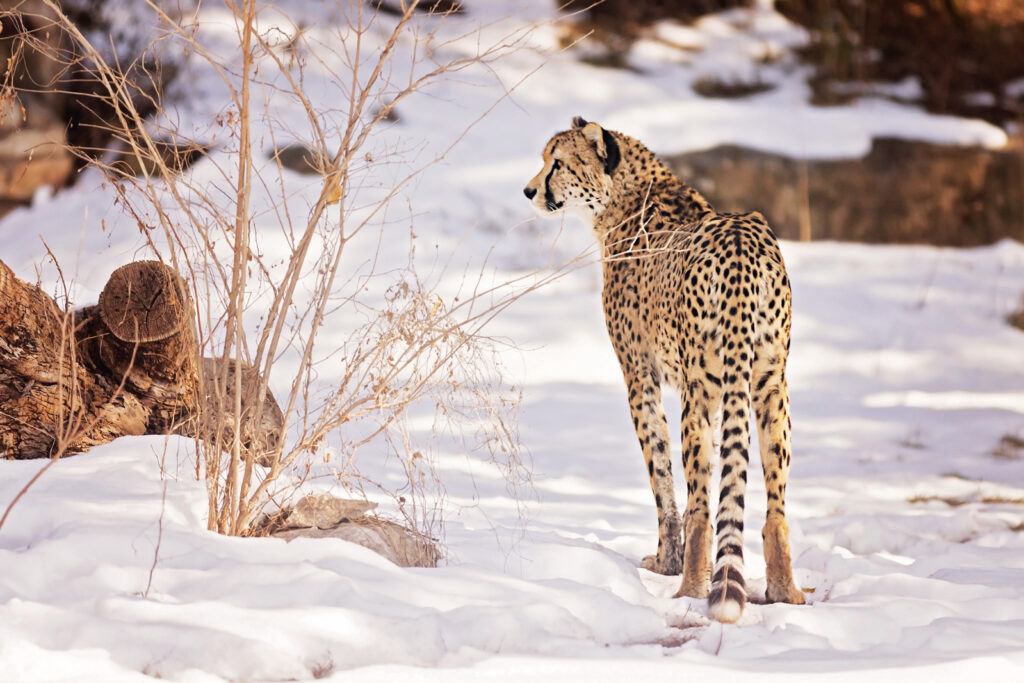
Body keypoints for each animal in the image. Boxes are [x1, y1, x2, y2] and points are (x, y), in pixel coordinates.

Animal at [523, 116, 805, 623]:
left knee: (702, 504)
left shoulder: (640, 376)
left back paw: (691, 588)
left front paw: (665, 561)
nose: (529, 190)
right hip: (770, 384)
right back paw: (785, 593)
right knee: (775, 504)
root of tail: (742, 237)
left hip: (702, 389)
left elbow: (660, 472)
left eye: (557, 162)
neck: (624, 197)